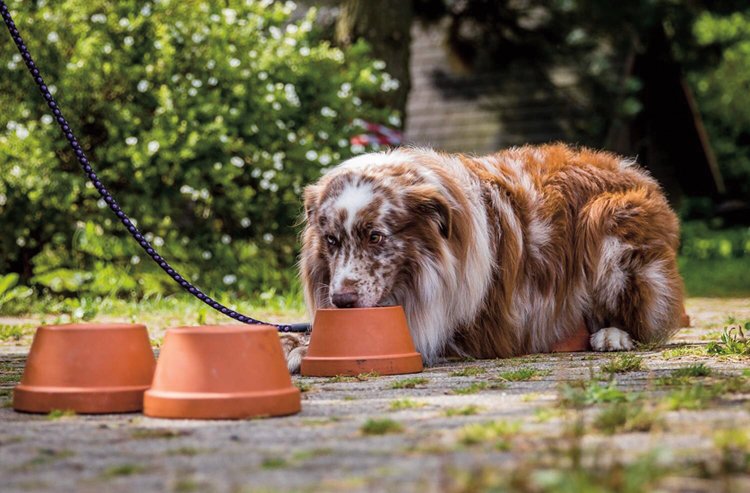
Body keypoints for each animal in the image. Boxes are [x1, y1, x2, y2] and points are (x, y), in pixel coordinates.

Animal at [284, 144, 688, 370]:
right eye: (332, 240)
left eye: (376, 236)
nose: (342, 300)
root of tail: (633, 168)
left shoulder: (479, 328)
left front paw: (303, 351)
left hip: (607, 223)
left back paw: (612, 335)